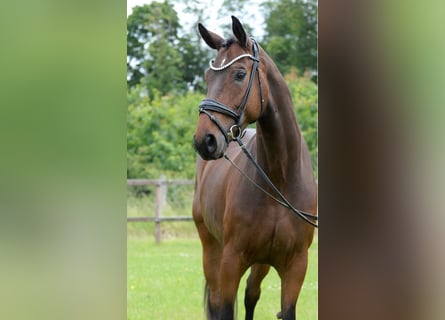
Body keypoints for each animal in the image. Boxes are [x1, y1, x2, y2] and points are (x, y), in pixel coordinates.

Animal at [191, 16, 316, 318]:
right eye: (208, 77)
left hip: (262, 263)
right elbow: (224, 308)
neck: (280, 177)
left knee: (251, 294)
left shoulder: (296, 266)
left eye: (239, 74)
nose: (204, 140)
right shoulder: (231, 260)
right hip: (211, 246)